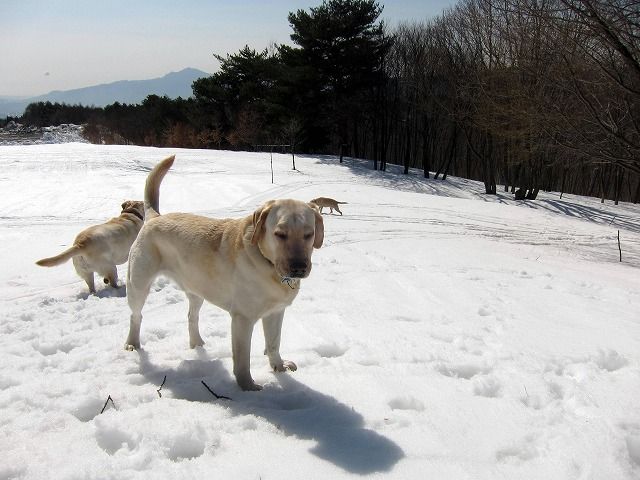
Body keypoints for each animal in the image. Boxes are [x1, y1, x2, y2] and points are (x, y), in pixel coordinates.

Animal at [125, 156, 324, 392]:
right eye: (280, 234)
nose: (299, 267)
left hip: (197, 288)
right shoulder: (242, 318)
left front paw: (279, 366)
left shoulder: (276, 312)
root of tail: (154, 217)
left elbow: (274, 343)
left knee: (192, 316)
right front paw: (248, 387)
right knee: (136, 316)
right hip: (138, 285)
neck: (266, 262)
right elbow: (242, 358)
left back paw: (197, 343)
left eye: (308, 234)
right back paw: (132, 344)